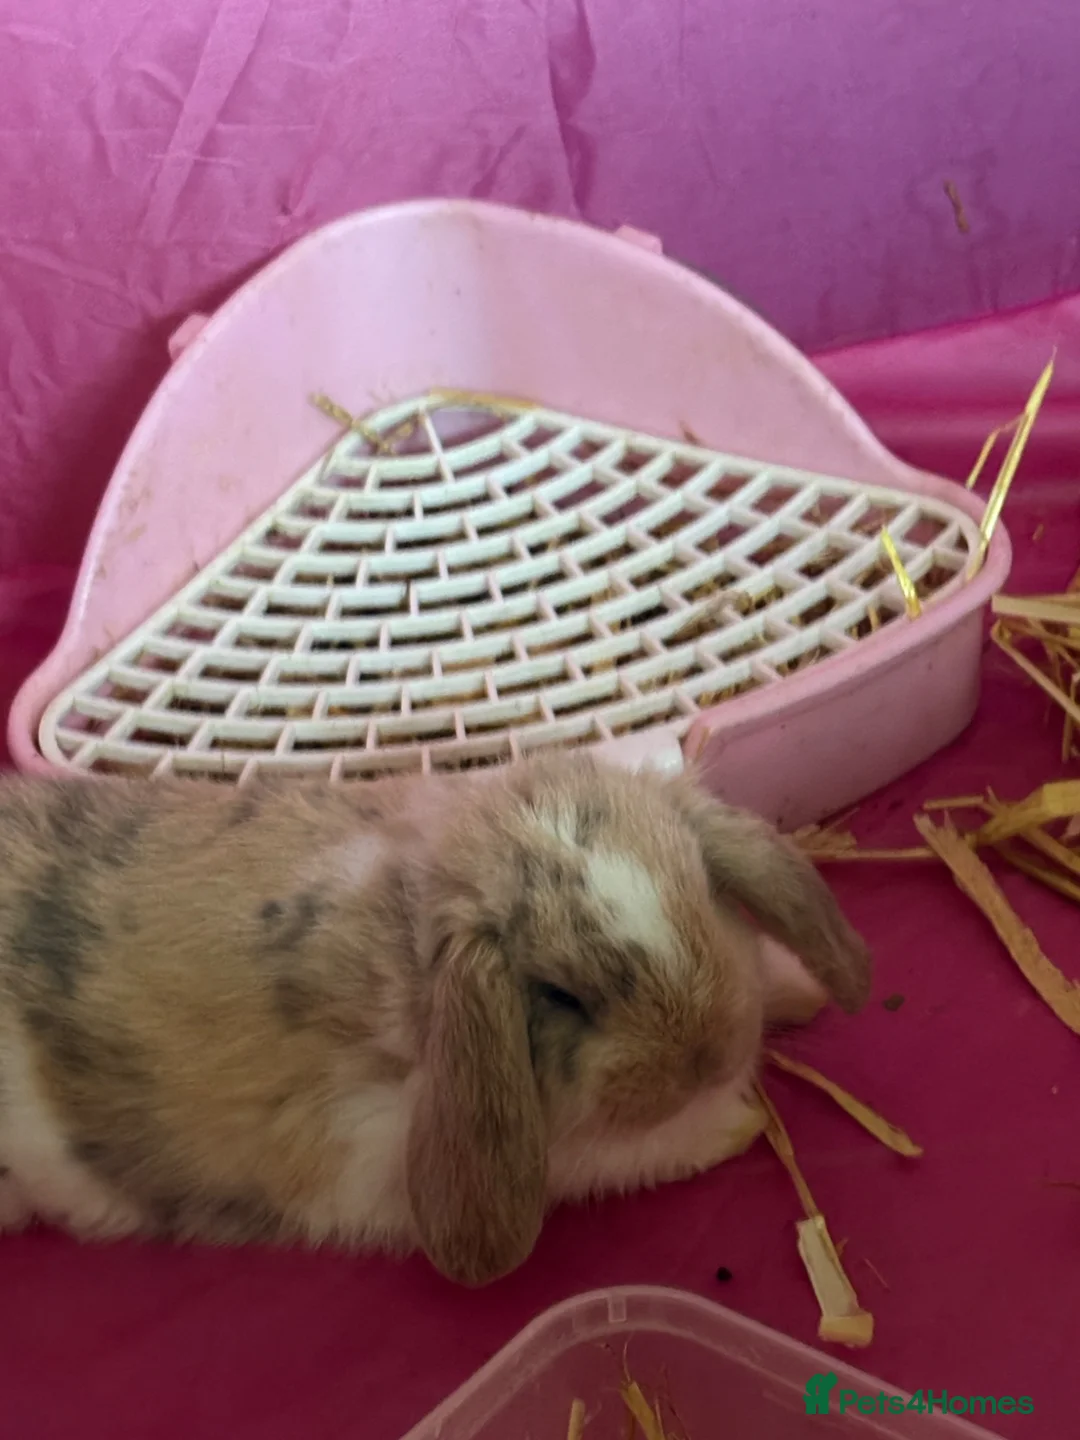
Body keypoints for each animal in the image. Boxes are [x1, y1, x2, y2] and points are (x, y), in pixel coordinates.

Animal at [0, 750, 870, 1285]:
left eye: (705, 890)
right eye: (558, 993)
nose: (711, 1053)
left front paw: (797, 989)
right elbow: (625, 1154)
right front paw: (733, 1122)